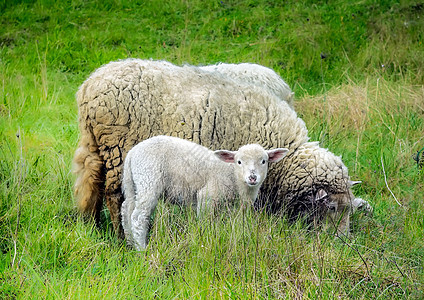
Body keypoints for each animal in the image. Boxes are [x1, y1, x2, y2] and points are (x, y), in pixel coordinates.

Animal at [121, 135, 290, 248]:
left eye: (264, 161)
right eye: (239, 162)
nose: (252, 177)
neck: (234, 177)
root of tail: (132, 153)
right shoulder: (208, 196)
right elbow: (205, 222)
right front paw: (205, 239)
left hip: (132, 183)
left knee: (126, 210)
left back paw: (131, 244)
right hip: (149, 179)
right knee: (138, 217)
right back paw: (142, 250)